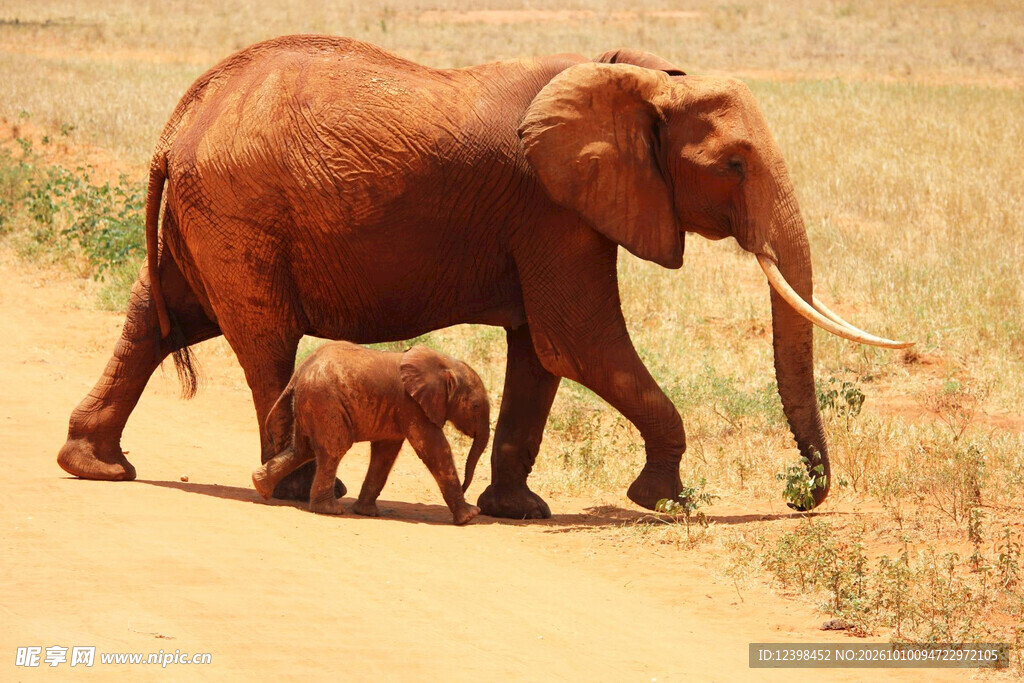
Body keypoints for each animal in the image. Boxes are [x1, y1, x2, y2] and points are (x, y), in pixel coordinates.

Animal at [251, 342, 489, 525]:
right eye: (476, 406)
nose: (467, 487)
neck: (444, 364)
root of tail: (300, 371)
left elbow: (385, 454)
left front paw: (366, 512)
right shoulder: (412, 405)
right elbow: (435, 450)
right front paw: (469, 517)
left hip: (311, 403)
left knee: (302, 450)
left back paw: (260, 486)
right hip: (325, 402)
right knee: (333, 450)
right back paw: (330, 510)